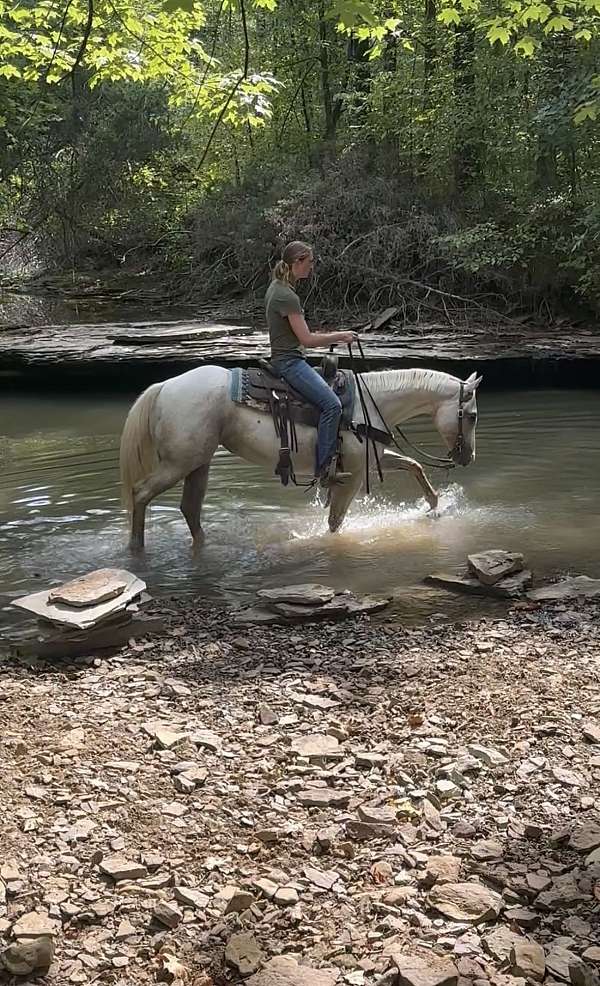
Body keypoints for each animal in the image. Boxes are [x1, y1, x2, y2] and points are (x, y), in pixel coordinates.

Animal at [119, 362, 480, 548]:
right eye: (473, 416)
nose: (468, 458)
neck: (369, 404)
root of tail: (165, 386)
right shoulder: (351, 476)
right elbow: (335, 521)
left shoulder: (368, 462)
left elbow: (413, 465)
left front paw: (434, 506)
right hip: (179, 463)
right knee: (140, 493)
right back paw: (136, 549)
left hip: (198, 463)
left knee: (190, 509)